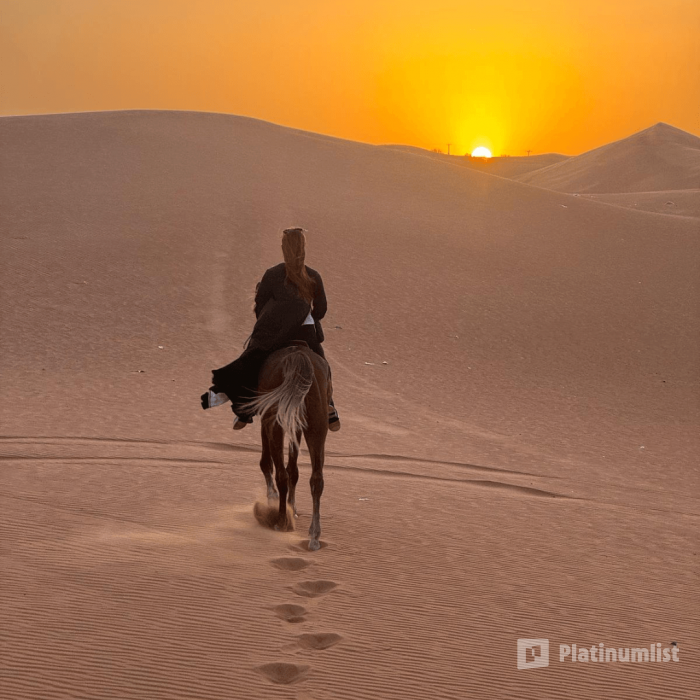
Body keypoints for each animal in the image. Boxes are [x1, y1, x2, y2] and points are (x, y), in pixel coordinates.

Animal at [241, 341, 331, 551]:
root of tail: (298, 355)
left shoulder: (268, 421)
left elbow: (268, 463)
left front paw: (274, 498)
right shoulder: (296, 423)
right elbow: (294, 469)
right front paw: (293, 506)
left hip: (275, 423)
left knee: (281, 474)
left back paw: (281, 521)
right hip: (316, 426)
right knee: (316, 479)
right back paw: (314, 536)